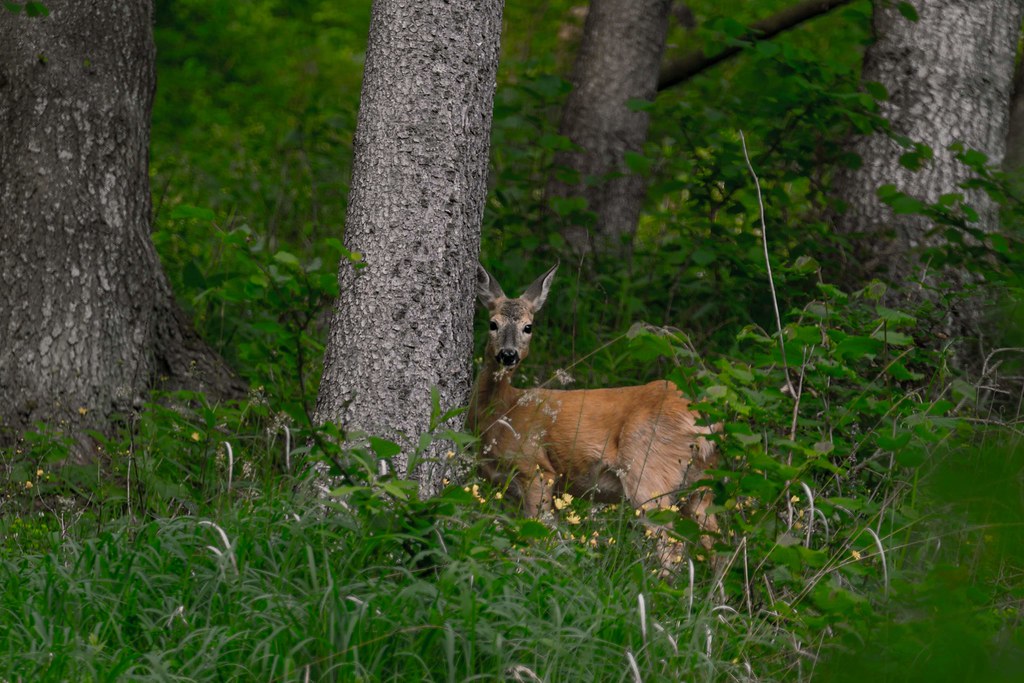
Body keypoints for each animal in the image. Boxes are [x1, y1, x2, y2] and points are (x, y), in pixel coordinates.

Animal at [466, 263, 720, 570]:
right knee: (719, 545)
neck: (503, 410)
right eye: (493, 324)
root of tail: (705, 426)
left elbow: (535, 534)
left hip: (650, 472)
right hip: (701, 487)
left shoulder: (537, 470)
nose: (508, 354)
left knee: (673, 548)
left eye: (528, 327)